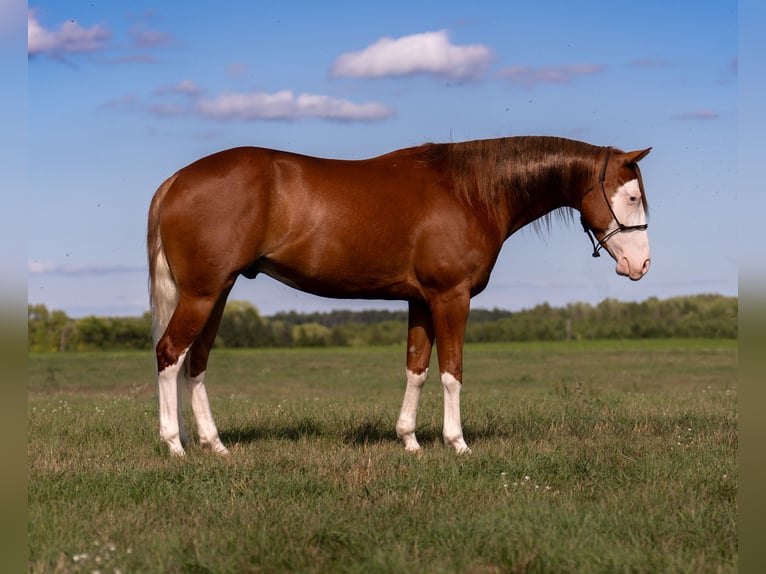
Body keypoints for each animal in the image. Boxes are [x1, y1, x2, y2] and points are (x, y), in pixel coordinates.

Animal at [147, 136, 651, 456]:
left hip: (217, 292)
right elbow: (451, 372)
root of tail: (176, 180)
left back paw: (214, 445)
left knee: (196, 362)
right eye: (630, 197)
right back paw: (174, 445)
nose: (642, 265)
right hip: (202, 294)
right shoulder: (451, 297)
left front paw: (409, 440)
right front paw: (457, 443)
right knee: (170, 353)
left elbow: (417, 369)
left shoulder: (421, 301)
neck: (470, 193)